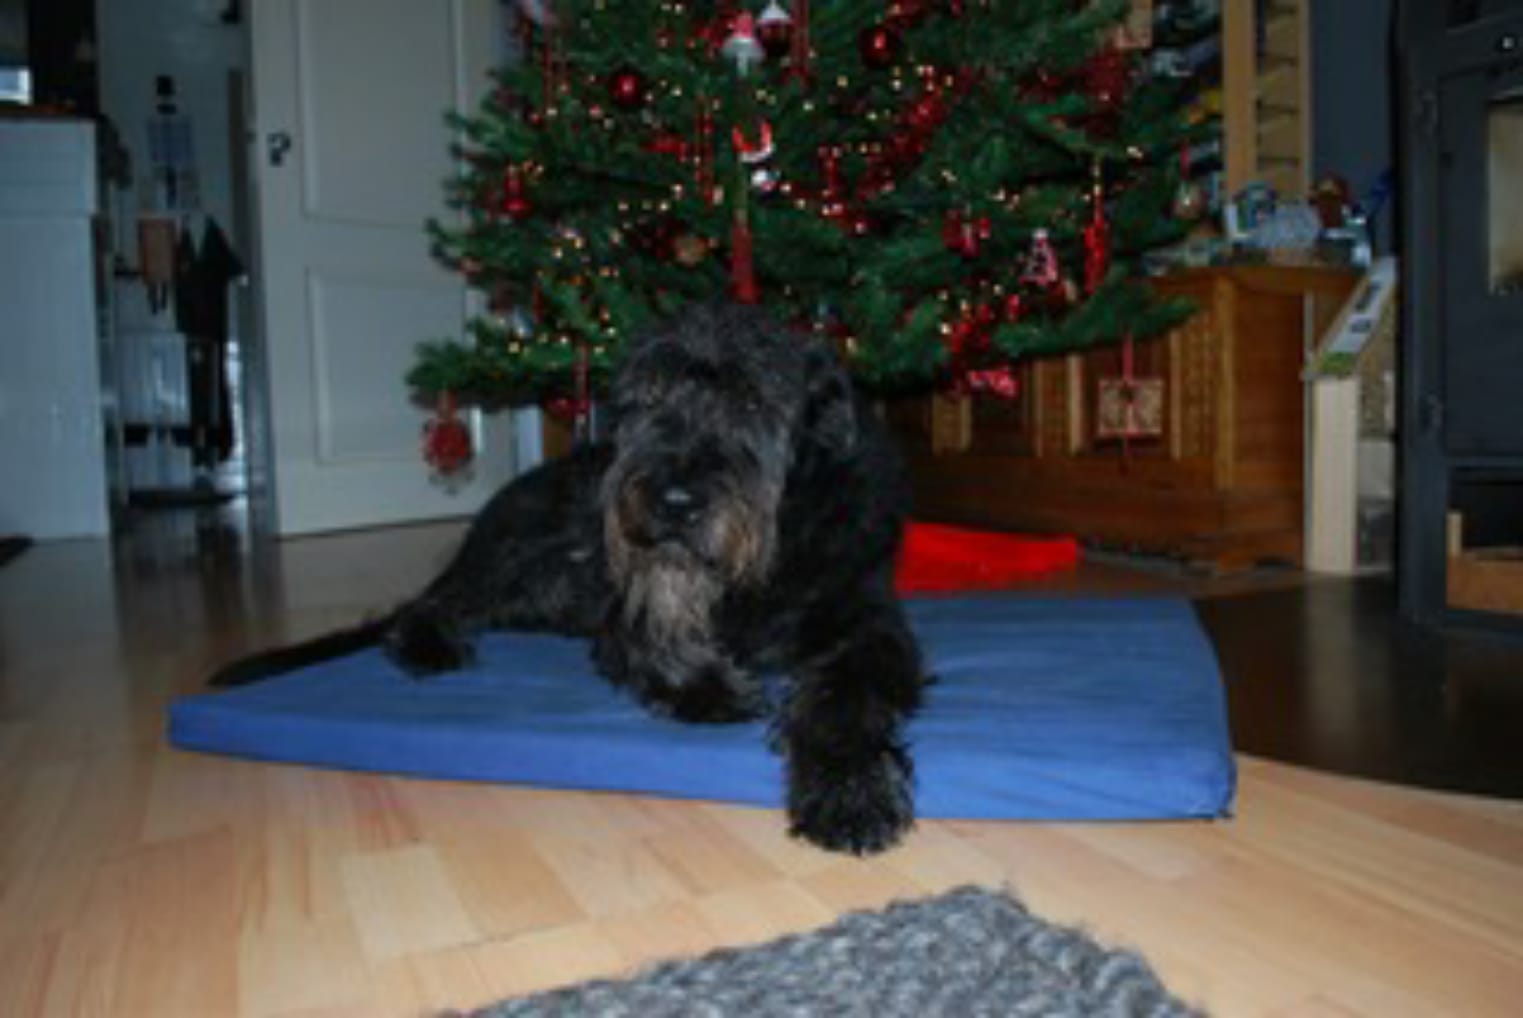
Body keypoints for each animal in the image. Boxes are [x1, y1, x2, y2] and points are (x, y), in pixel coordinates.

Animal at [210, 302, 927, 855]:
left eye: (753, 399)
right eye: (650, 399)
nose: (673, 502)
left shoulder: (871, 622)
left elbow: (847, 692)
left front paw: (847, 788)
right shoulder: (626, 608)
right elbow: (648, 644)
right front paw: (706, 688)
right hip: (529, 548)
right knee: (426, 605)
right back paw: (429, 642)